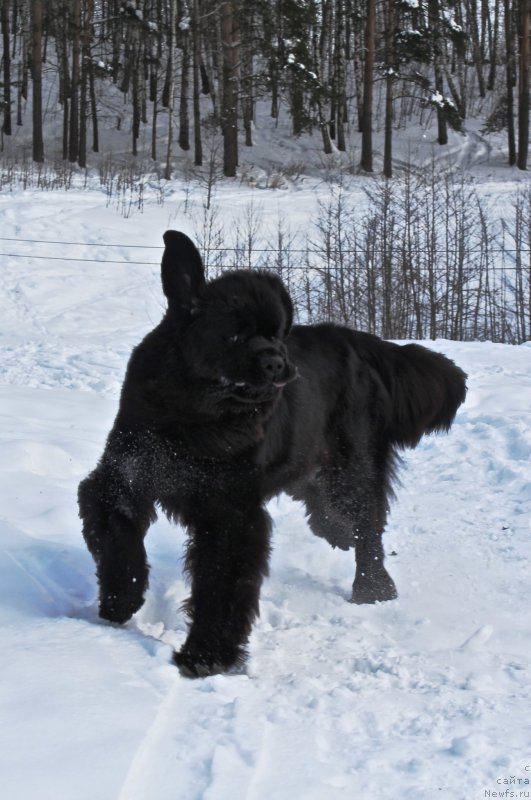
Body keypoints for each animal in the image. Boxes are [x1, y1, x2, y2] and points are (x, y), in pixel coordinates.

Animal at [77, 230, 468, 676]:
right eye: (234, 334)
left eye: (279, 333)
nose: (277, 362)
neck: (193, 417)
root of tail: (358, 341)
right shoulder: (123, 474)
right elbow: (116, 538)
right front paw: (119, 601)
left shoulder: (229, 513)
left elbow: (221, 587)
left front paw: (204, 656)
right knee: (334, 515)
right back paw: (338, 537)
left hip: (352, 464)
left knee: (368, 523)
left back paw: (373, 588)